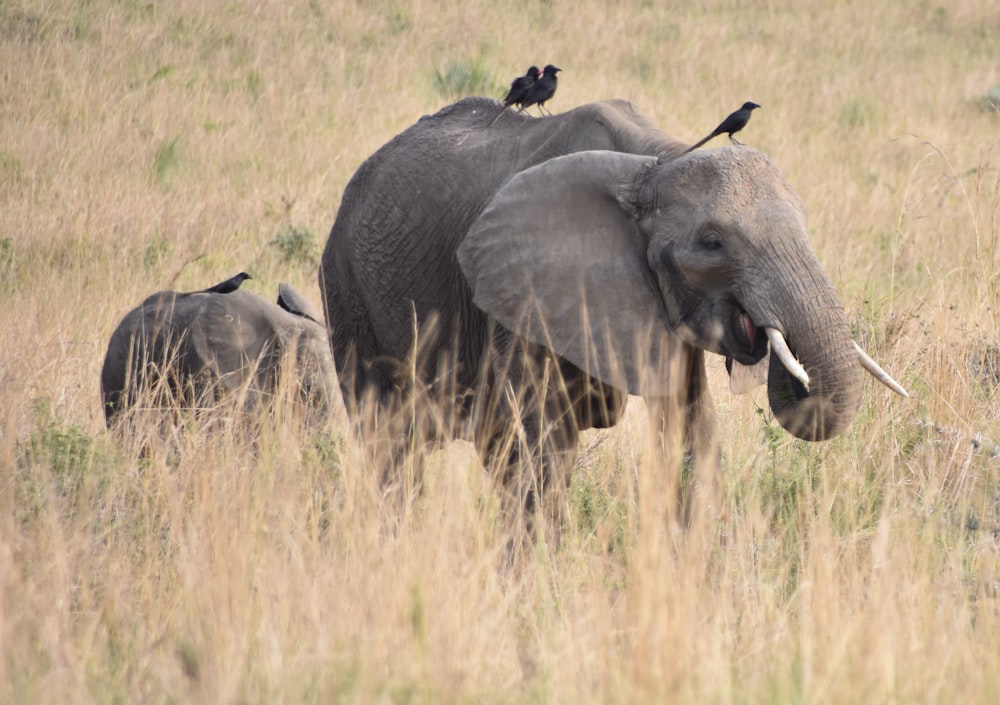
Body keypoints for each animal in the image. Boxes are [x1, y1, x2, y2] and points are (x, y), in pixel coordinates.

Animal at [322, 99, 908, 516]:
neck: (657, 160)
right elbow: (532, 446)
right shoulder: (525, 287)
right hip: (345, 285)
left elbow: (693, 435)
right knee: (388, 440)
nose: (769, 339)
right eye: (713, 243)